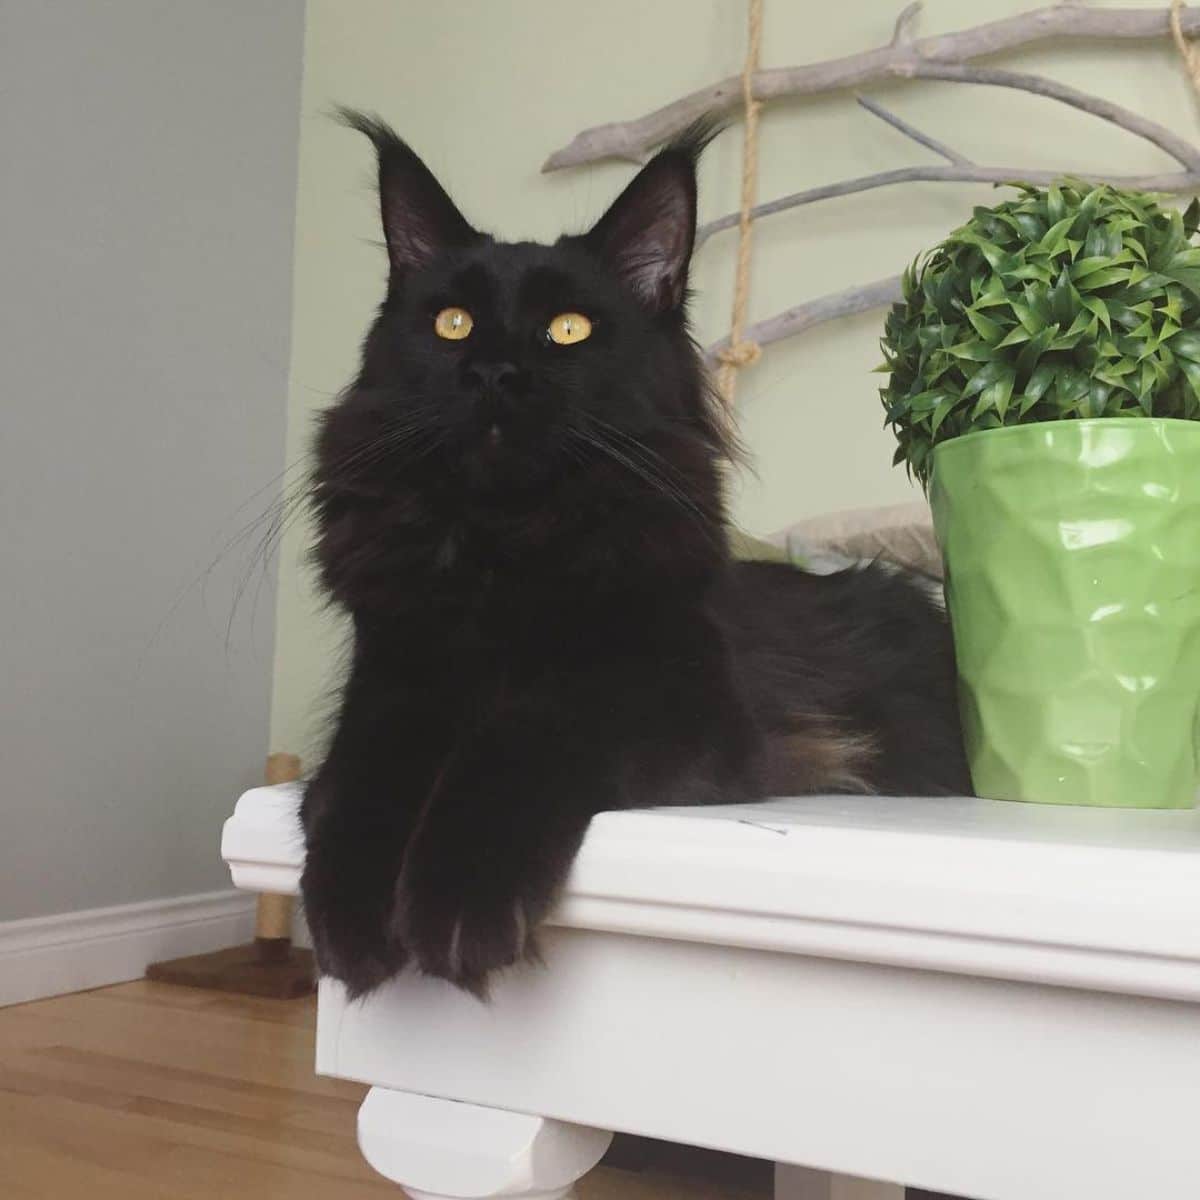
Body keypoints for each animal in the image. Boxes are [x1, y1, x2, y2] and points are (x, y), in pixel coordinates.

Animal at [302, 112, 974, 998]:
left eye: (568, 329)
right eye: (451, 323)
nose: (494, 372)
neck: (503, 549)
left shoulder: (682, 710)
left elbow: (523, 741)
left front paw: (455, 908)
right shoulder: (391, 685)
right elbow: (358, 787)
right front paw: (350, 921)